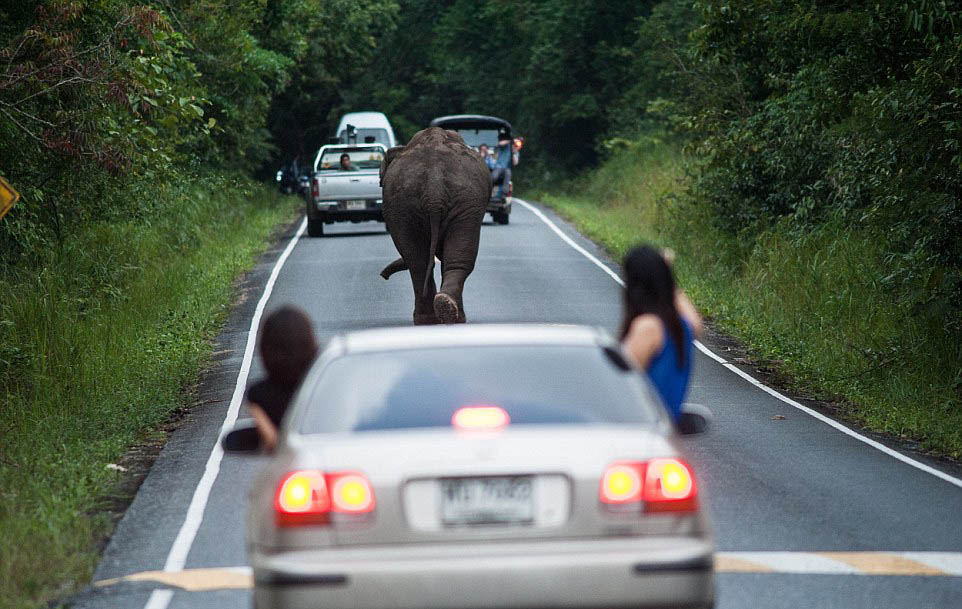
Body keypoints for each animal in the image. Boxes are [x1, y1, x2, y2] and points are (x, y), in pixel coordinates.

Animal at [376, 126, 492, 326]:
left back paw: (441, 314)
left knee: (422, 262)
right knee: (429, 263)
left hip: (444, 204)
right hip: (416, 206)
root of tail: (434, 185)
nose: (383, 276)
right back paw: (440, 315)